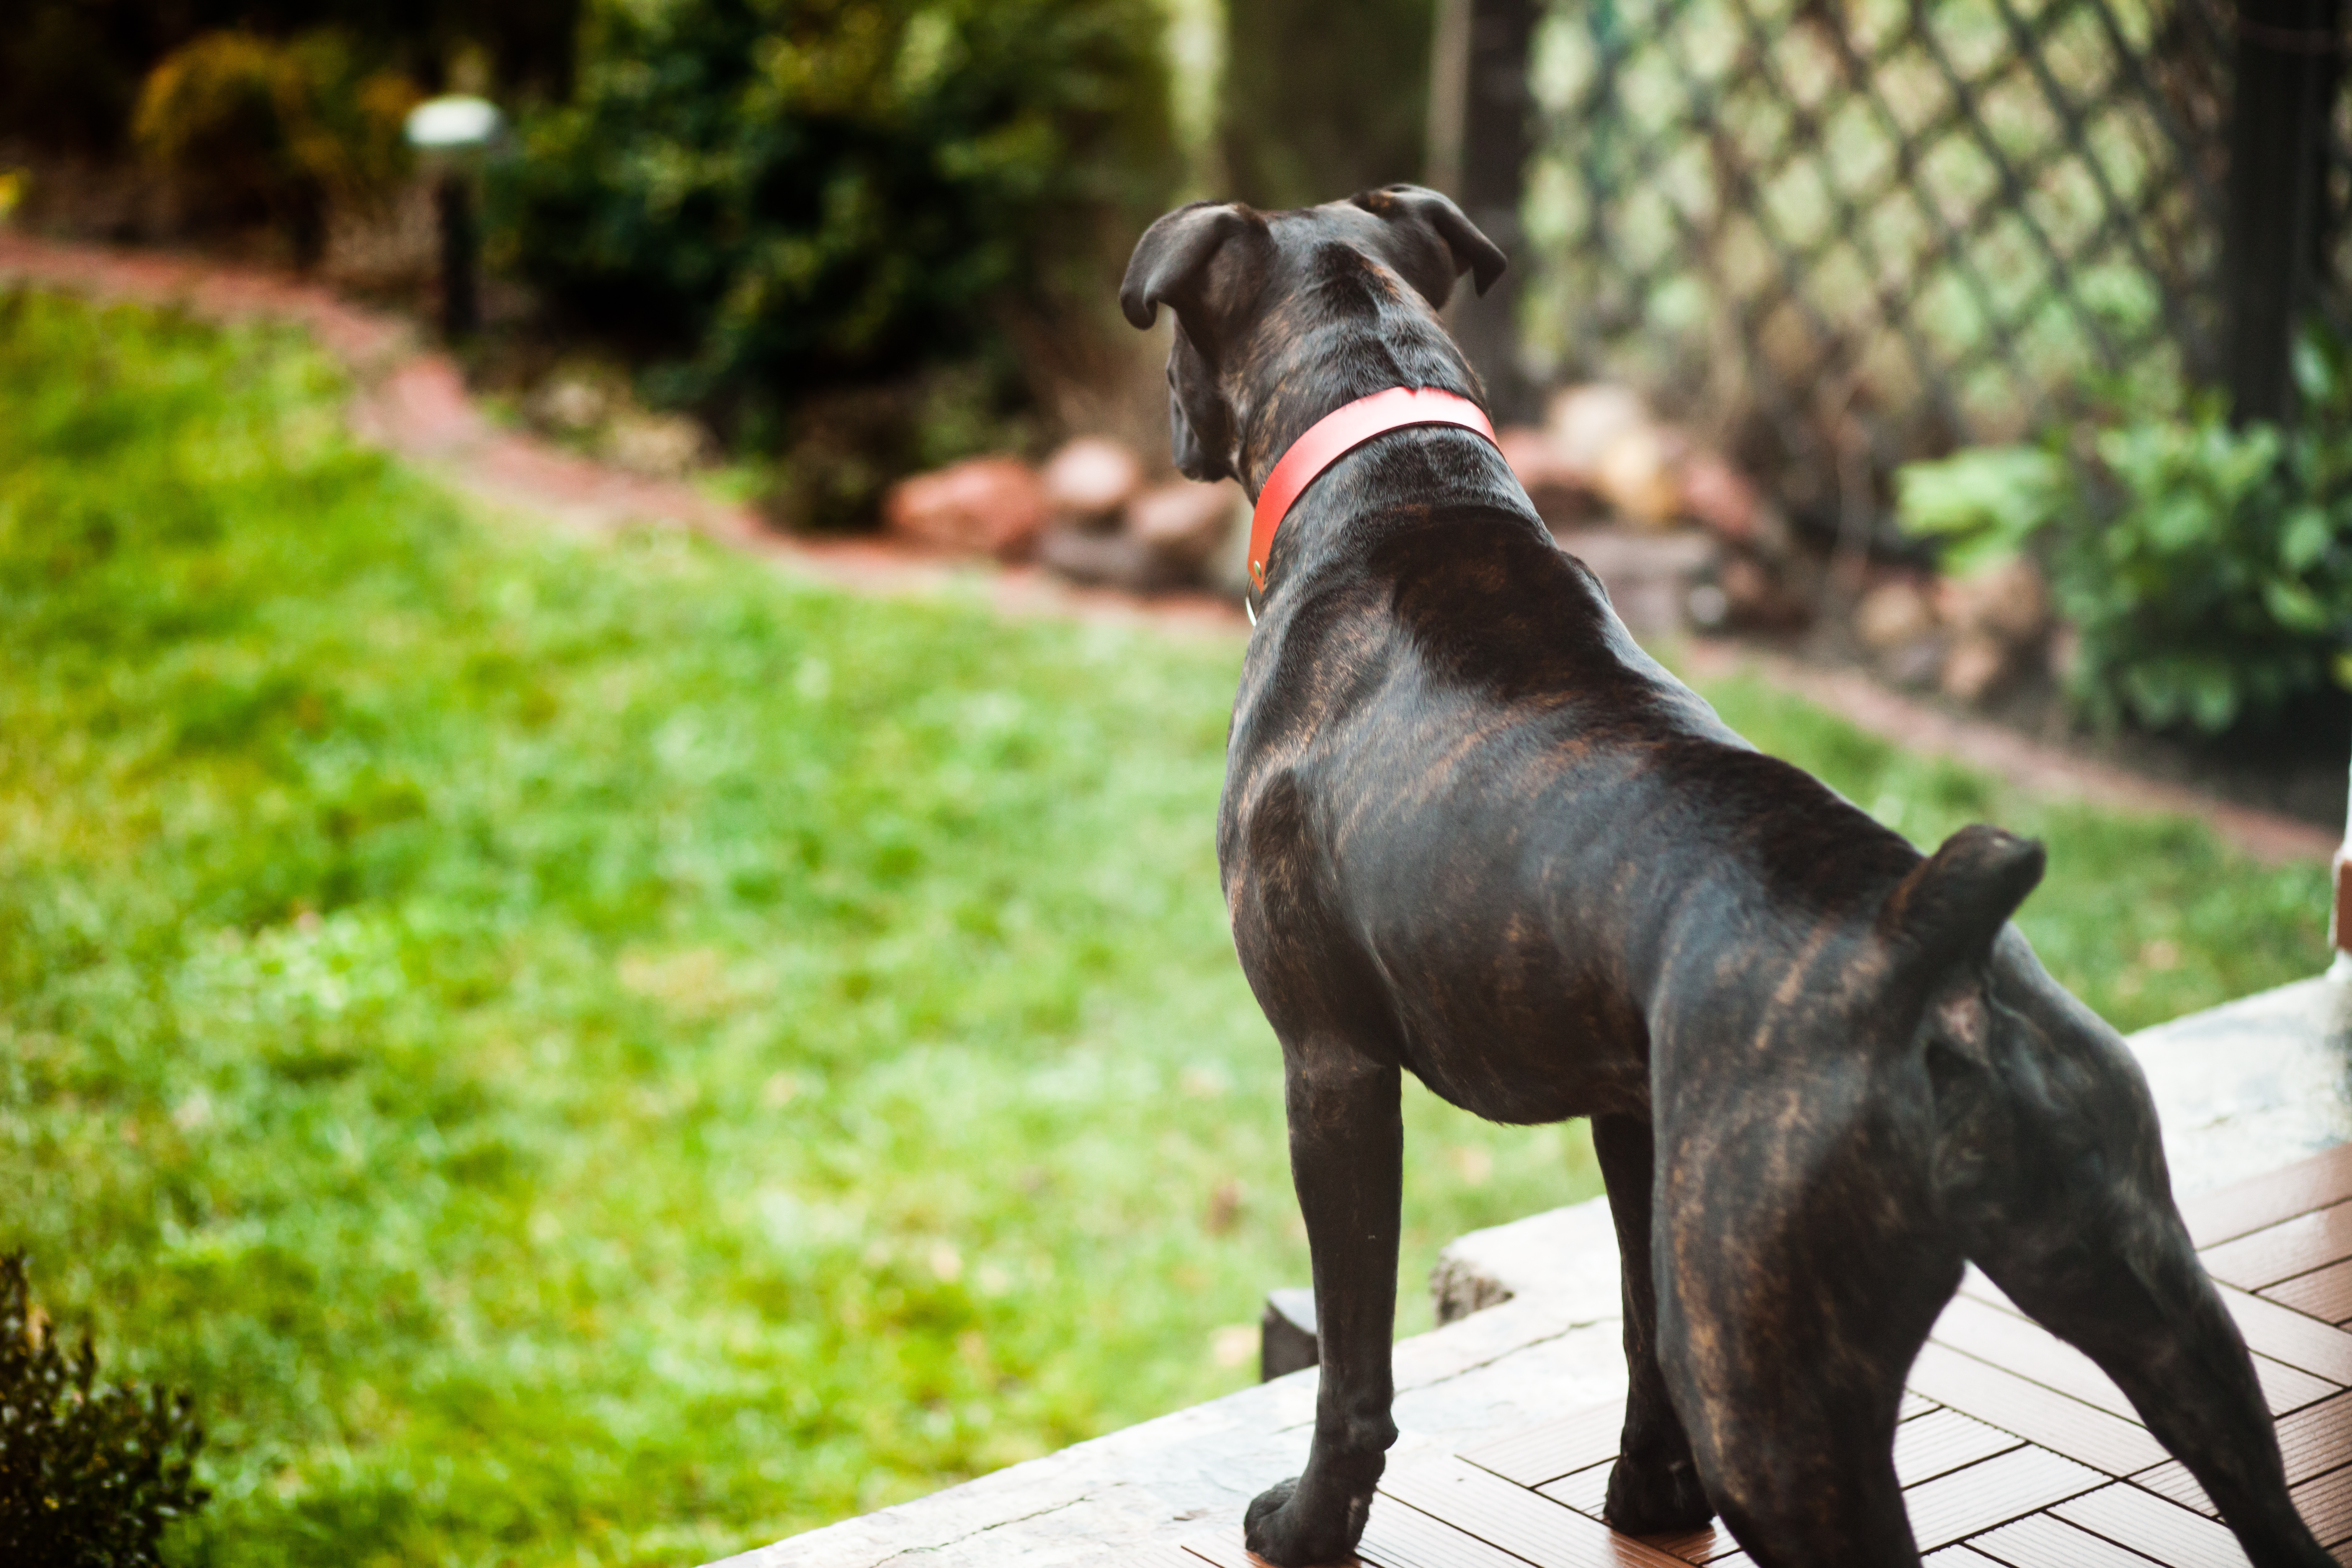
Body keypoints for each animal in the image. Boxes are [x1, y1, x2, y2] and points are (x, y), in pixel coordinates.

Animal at [1124, 190, 2333, 1568]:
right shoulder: (1633, 1113)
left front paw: (1310, 1522)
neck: (1402, 479)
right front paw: (1650, 1498)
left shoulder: (1333, 1075)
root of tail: (1931, 947)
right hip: (2162, 1311)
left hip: (1784, 1420)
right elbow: (1641, 1318)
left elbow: (1355, 1363)